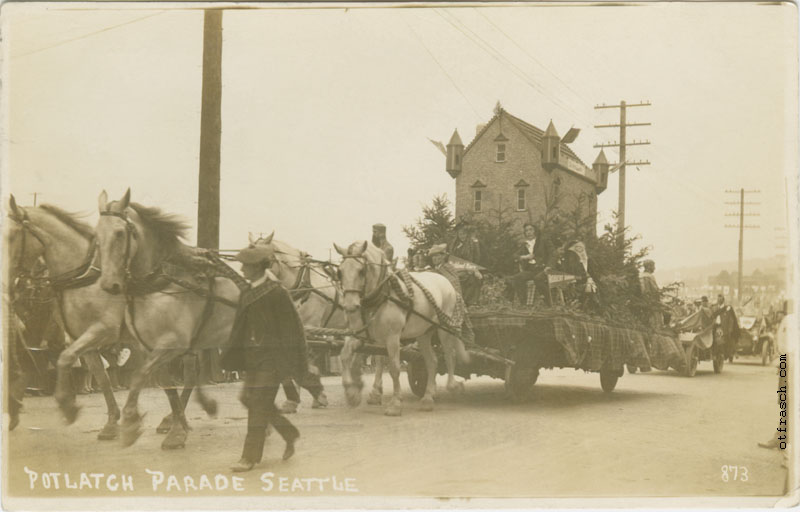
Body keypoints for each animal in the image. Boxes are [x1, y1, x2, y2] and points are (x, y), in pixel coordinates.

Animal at [5, 197, 126, 440]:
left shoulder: (103, 329)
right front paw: (111, 422)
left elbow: (65, 359)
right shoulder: (85, 339)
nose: (8, 284)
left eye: (11, 236)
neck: (87, 279)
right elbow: (101, 376)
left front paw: (68, 405)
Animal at [94, 189, 241, 448]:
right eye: (97, 234)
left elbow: (139, 376)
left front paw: (131, 423)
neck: (156, 288)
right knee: (193, 376)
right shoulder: (150, 347)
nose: (109, 284)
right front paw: (177, 429)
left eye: (120, 233)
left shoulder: (172, 344)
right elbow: (167, 386)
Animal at [332, 241, 468, 416]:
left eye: (361, 271)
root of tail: (446, 281)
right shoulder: (361, 335)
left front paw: (395, 404)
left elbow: (394, 368)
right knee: (432, 361)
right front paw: (352, 394)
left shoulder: (393, 337)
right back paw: (428, 398)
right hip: (423, 333)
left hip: (445, 328)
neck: (383, 295)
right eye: (340, 272)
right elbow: (345, 356)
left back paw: (453, 386)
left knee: (450, 355)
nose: (349, 306)